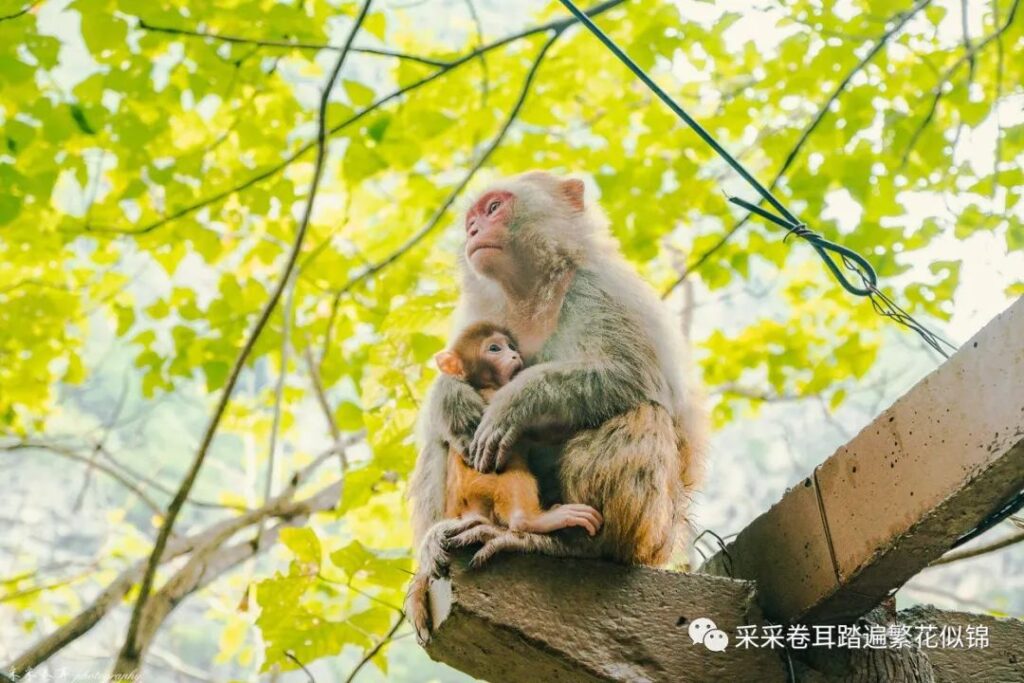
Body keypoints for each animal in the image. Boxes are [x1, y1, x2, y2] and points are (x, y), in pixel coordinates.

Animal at [436, 323, 602, 536]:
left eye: (511, 346)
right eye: (495, 348)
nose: (514, 355)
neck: (485, 384)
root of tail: (468, 508)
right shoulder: (493, 394)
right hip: (483, 483)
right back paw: (529, 520)